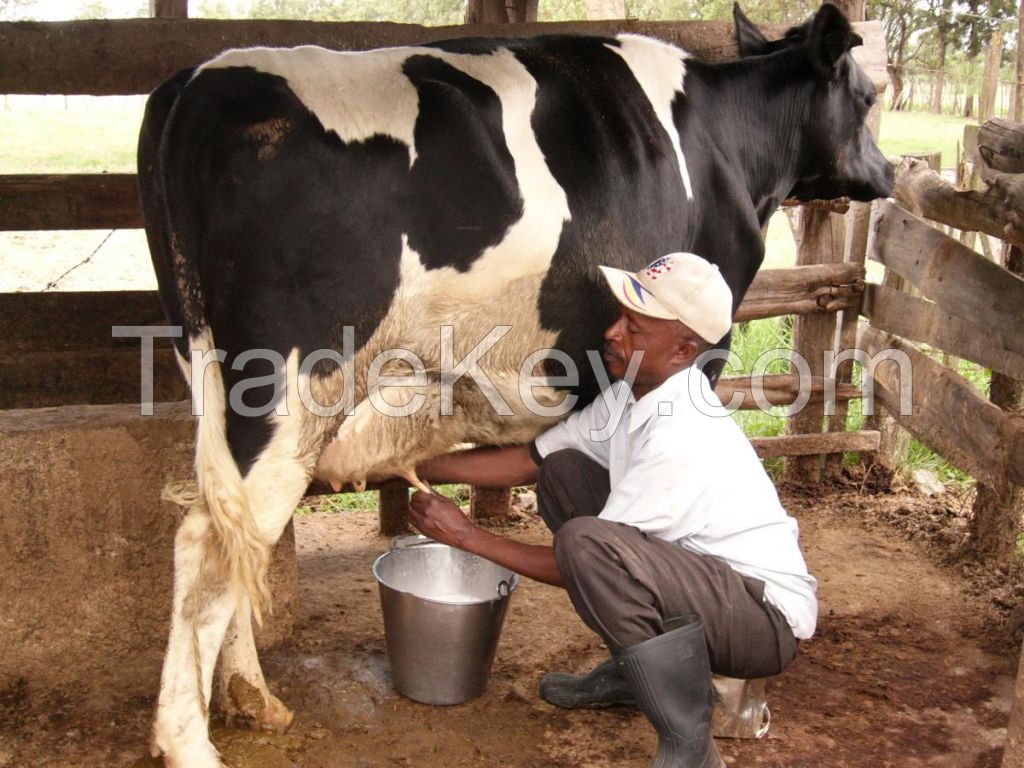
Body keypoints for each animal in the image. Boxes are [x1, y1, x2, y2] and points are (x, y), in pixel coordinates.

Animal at [140, 4, 892, 765]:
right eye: (868, 97)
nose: (888, 170)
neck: (726, 143)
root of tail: (194, 82)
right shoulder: (704, 353)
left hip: (210, 375)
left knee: (234, 534)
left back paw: (250, 698)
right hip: (285, 385)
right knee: (209, 542)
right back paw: (188, 739)